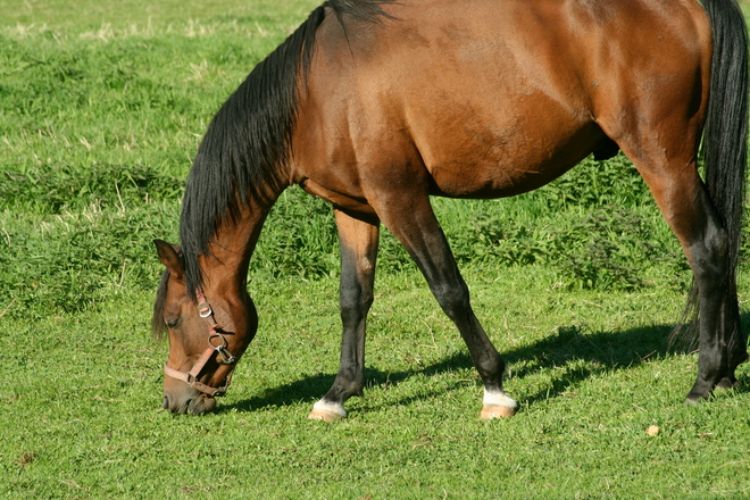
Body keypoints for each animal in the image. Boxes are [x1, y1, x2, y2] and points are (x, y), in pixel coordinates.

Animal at [153, 0, 748, 420]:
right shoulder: (356, 209)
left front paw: (494, 388)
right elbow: (353, 299)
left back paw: (703, 380)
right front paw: (338, 393)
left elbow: (449, 290)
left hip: (660, 157)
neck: (316, 93)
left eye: (174, 319)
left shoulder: (401, 198)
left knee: (705, 248)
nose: (175, 400)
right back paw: (727, 370)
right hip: (683, 160)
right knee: (723, 241)